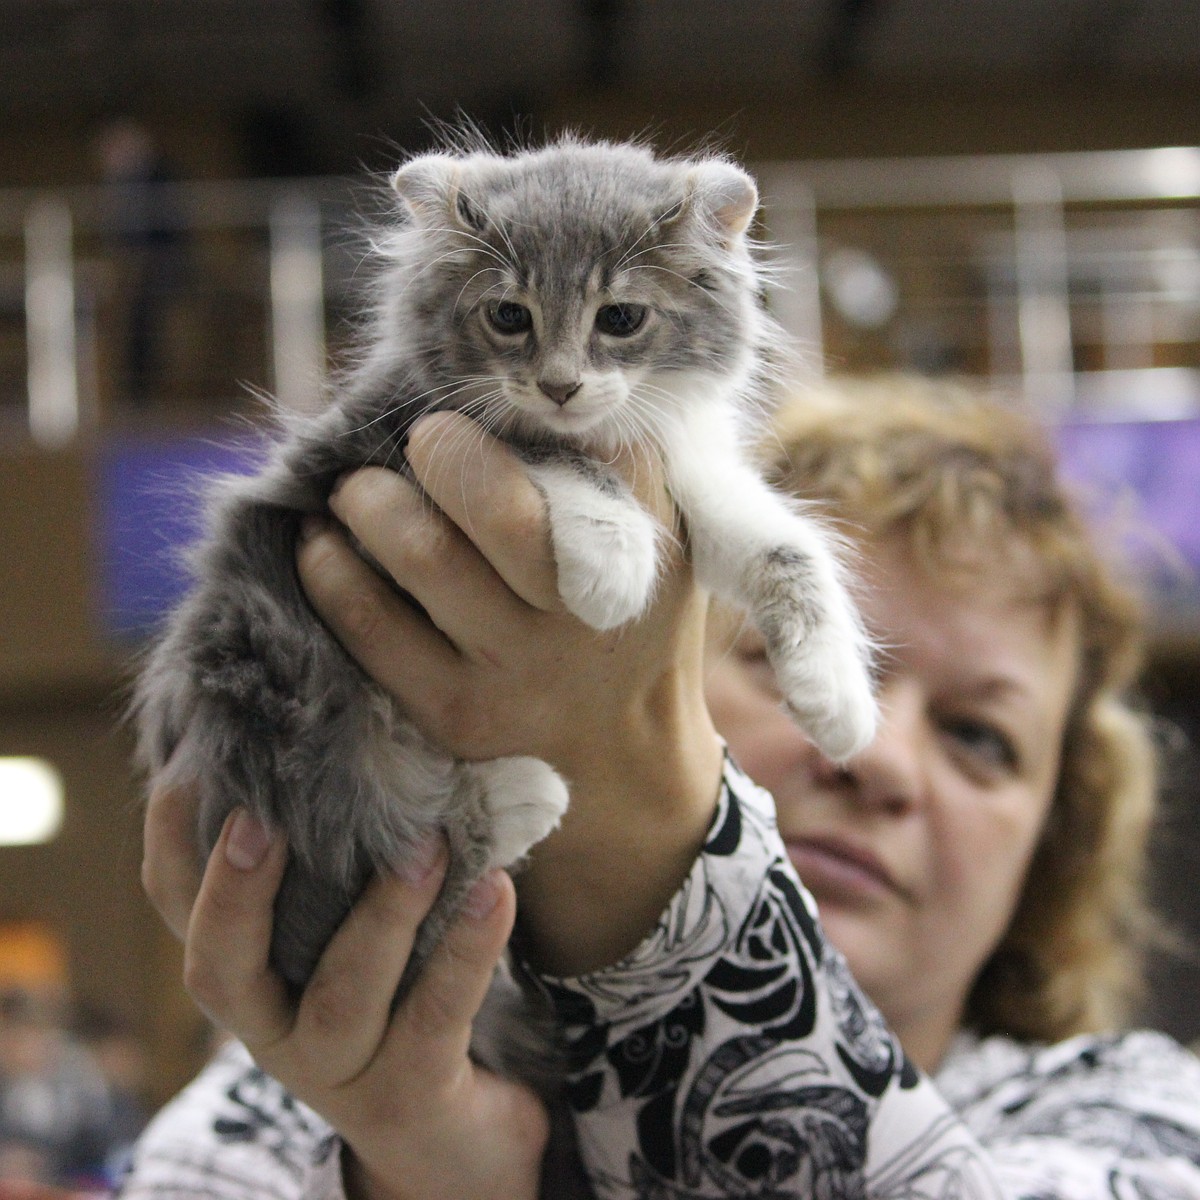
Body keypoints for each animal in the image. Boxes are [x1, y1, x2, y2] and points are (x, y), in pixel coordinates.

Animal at [131, 133, 878, 1089]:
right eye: (509, 317)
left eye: (620, 318)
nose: (559, 385)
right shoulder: (394, 442)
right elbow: (535, 447)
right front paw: (612, 561)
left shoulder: (691, 474)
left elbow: (791, 550)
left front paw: (836, 700)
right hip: (280, 672)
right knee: (370, 848)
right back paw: (519, 793)